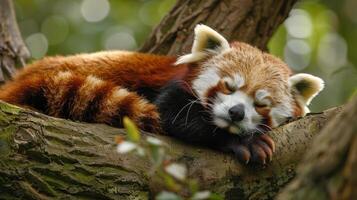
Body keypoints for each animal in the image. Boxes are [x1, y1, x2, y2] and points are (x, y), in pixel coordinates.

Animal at [0, 24, 322, 164]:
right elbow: (173, 114)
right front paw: (246, 142)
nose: (236, 113)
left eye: (260, 104)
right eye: (228, 87)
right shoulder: (168, 86)